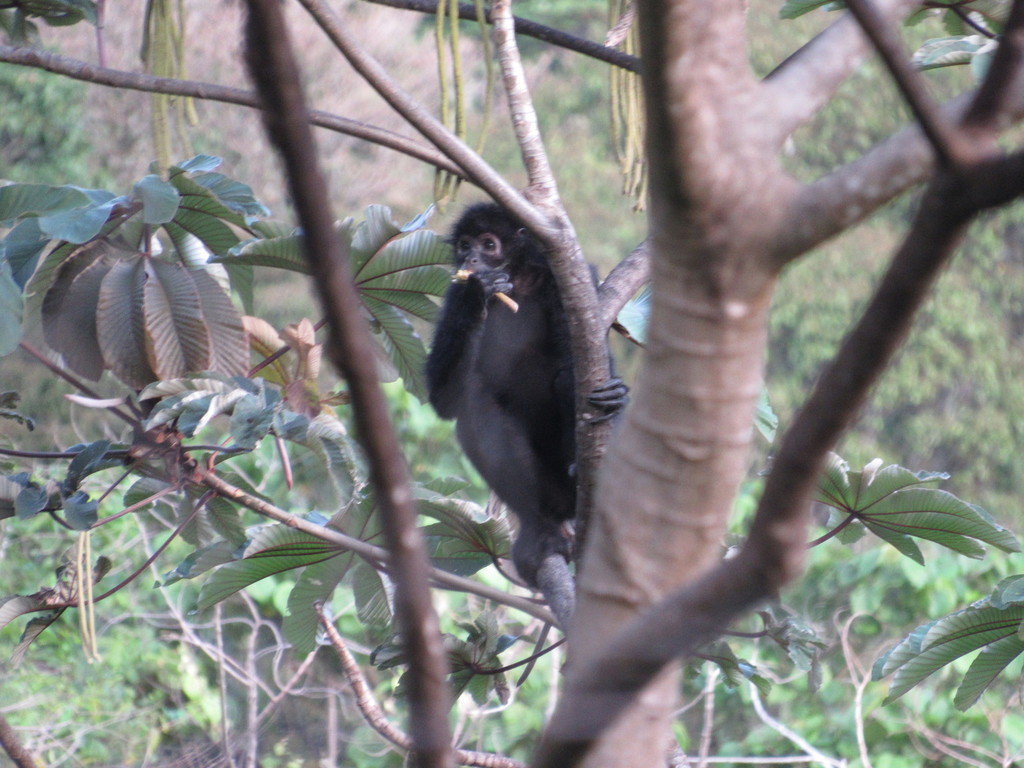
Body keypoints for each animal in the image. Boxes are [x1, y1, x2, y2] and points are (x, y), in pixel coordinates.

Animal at [423, 204, 622, 602]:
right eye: (465, 244)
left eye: (488, 244)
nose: (470, 259)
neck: (517, 280)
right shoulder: (452, 294)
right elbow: (445, 400)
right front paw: (476, 292)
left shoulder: (557, 281)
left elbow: (577, 362)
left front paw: (615, 397)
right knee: (474, 402)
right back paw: (540, 532)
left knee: (566, 378)